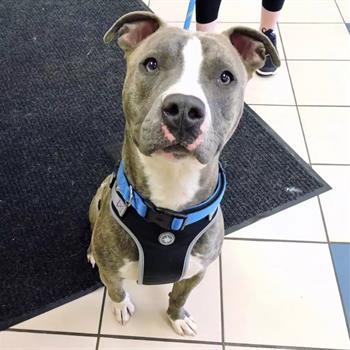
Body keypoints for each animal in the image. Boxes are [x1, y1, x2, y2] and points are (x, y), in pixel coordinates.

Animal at [87, 10, 278, 336]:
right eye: (151, 63)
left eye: (225, 76)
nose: (185, 109)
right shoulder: (111, 268)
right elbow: (116, 288)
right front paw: (121, 305)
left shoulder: (196, 273)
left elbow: (179, 295)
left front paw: (177, 317)